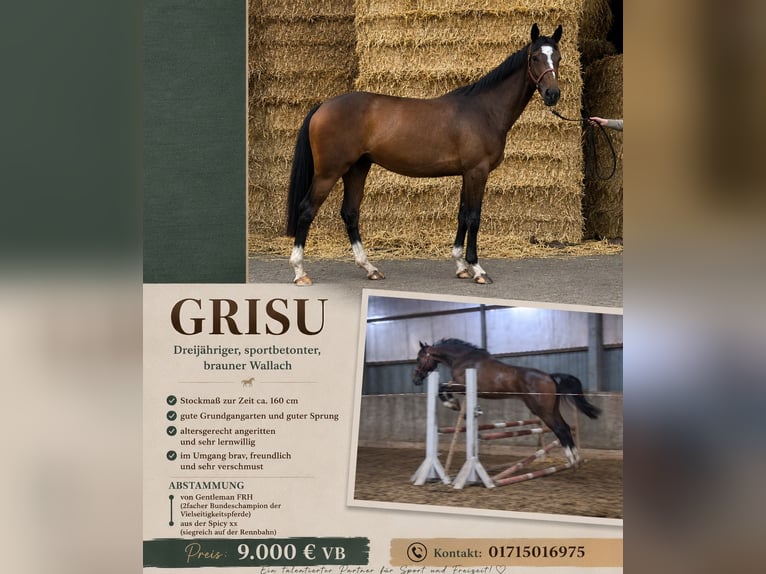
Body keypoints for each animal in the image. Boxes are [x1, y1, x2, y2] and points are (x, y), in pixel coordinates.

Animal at [285, 23, 564, 285]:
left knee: (350, 213)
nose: (553, 94)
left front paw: (461, 266)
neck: (484, 110)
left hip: (357, 168)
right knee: (307, 210)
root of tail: (323, 105)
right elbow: (474, 217)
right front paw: (477, 269)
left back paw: (370, 268)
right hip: (329, 172)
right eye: (535, 57)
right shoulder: (477, 171)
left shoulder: (467, 174)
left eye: (558, 58)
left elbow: (462, 215)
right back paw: (300, 272)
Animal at [412, 338, 600, 465]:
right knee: (566, 427)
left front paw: (452, 404)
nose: (415, 380)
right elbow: (444, 387)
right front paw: (460, 407)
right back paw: (575, 458)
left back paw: (572, 458)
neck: (463, 359)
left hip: (542, 411)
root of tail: (550, 377)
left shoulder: (462, 386)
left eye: (419, 358)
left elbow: (442, 388)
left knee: (560, 429)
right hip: (551, 410)